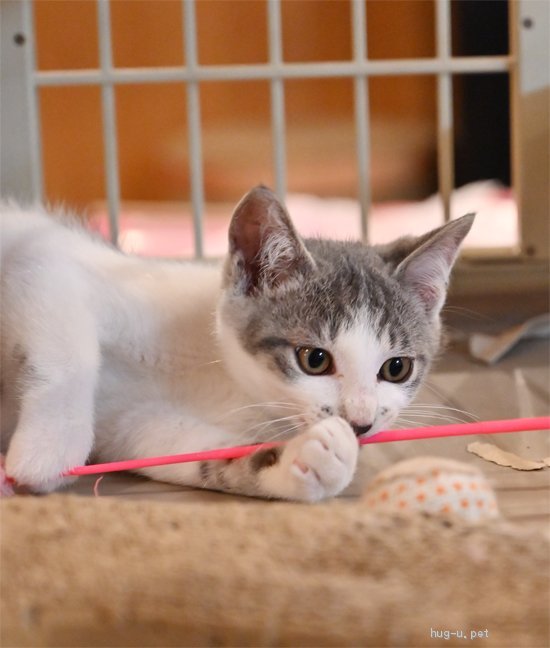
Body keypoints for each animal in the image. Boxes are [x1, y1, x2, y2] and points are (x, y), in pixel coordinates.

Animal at [0, 187, 474, 500]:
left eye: (396, 368)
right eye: (314, 359)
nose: (360, 423)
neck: (221, 374)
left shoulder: (137, 422)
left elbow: (204, 455)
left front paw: (312, 460)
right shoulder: (47, 261)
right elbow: (69, 352)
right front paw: (48, 450)